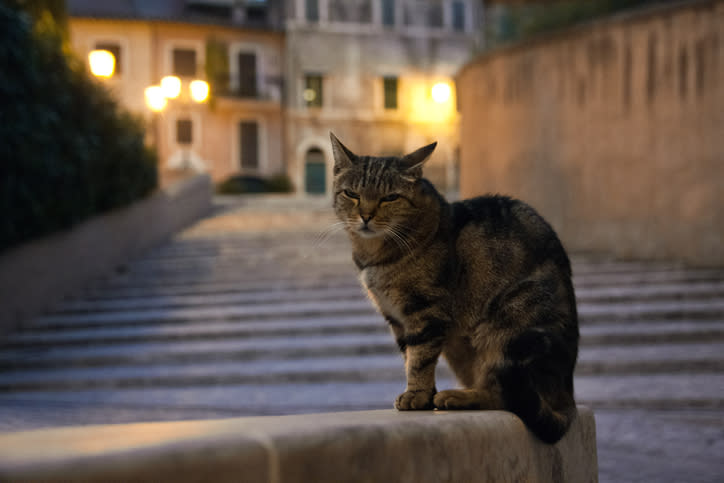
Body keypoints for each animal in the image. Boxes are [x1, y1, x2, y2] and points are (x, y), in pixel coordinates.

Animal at [330, 133, 580, 446]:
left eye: (390, 198)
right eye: (352, 194)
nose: (365, 215)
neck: (374, 255)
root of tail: (569, 396)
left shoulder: (426, 311)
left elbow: (420, 358)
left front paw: (417, 395)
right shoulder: (397, 319)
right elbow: (409, 356)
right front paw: (424, 395)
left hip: (508, 326)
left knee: (504, 395)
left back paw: (457, 397)